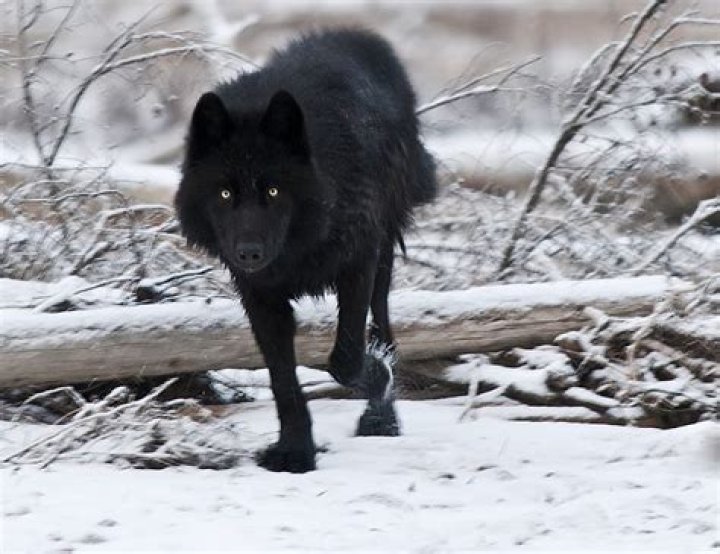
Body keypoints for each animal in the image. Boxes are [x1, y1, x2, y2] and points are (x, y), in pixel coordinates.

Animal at [175, 29, 437, 472]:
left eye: (274, 191)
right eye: (225, 193)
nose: (249, 253)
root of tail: (363, 38)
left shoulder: (358, 262)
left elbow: (345, 361)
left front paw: (378, 376)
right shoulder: (260, 296)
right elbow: (283, 381)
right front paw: (295, 452)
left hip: (383, 253)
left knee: (383, 327)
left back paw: (381, 418)